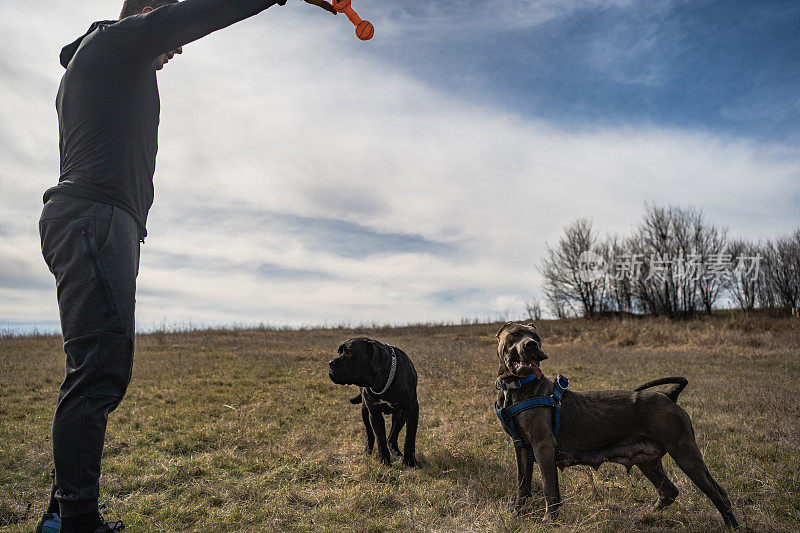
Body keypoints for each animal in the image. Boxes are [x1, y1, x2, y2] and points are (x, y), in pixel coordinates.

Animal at [328, 336, 422, 466]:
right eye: (339, 352)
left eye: (349, 352)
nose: (330, 363)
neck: (381, 382)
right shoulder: (374, 413)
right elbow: (380, 439)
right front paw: (384, 462)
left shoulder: (411, 409)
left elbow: (410, 438)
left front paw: (410, 462)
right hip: (365, 412)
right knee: (370, 435)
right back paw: (367, 452)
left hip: (400, 415)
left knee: (392, 436)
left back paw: (396, 453)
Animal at [496, 322, 740, 524]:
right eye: (515, 334)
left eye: (536, 337)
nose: (531, 344)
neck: (517, 387)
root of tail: (669, 395)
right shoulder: (521, 446)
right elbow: (523, 483)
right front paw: (517, 513)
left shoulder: (543, 445)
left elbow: (549, 487)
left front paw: (549, 520)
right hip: (648, 459)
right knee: (670, 491)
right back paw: (644, 515)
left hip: (684, 451)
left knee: (716, 492)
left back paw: (731, 525)